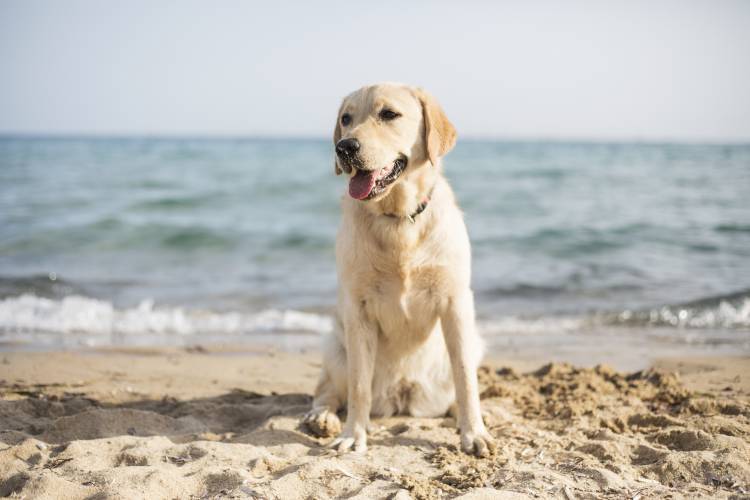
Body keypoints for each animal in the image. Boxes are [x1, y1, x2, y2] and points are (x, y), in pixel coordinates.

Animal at [302, 83, 496, 458]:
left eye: (389, 114)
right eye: (345, 119)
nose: (344, 147)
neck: (398, 220)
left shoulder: (456, 302)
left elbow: (466, 379)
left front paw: (474, 433)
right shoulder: (358, 310)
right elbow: (358, 386)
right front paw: (354, 435)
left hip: (471, 343)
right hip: (335, 345)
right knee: (327, 391)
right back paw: (322, 418)